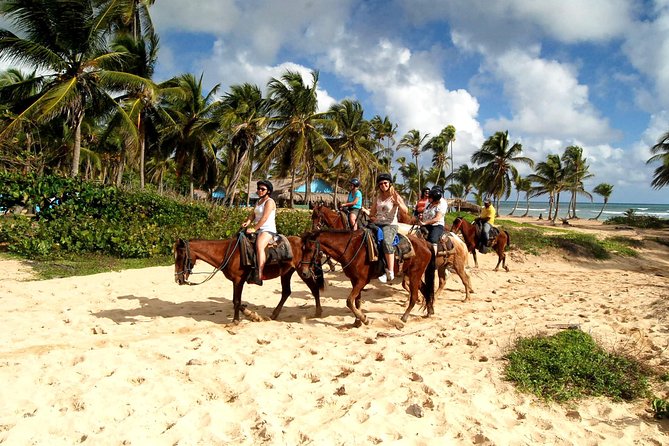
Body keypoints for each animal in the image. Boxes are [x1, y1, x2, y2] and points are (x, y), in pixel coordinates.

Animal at [175, 233, 324, 324]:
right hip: (286, 273)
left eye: (181, 256)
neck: (228, 253)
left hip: (303, 271)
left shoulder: (238, 280)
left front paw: (236, 320)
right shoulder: (236, 281)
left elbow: (236, 301)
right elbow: (237, 302)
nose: (178, 280)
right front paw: (252, 315)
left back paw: (318, 312)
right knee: (286, 292)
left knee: (314, 288)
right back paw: (274, 315)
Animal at [298, 230, 434, 324]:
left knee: (414, 296)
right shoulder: (354, 280)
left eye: (310, 249)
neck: (352, 249)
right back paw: (429, 311)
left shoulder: (362, 281)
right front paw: (357, 321)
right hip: (414, 274)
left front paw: (363, 319)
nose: (304, 272)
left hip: (414, 275)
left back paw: (405, 317)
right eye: (302, 249)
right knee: (426, 290)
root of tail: (424, 243)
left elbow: (349, 301)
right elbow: (356, 301)